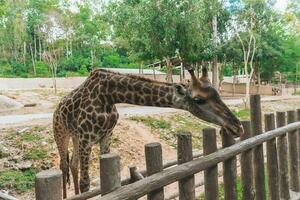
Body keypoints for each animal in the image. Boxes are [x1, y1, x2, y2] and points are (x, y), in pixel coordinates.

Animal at [54, 67, 244, 198]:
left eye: (218, 94)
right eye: (199, 100)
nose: (237, 127)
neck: (109, 96)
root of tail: (57, 109)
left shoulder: (106, 135)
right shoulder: (87, 138)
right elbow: (86, 183)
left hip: (76, 137)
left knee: (73, 164)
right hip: (62, 134)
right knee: (63, 165)